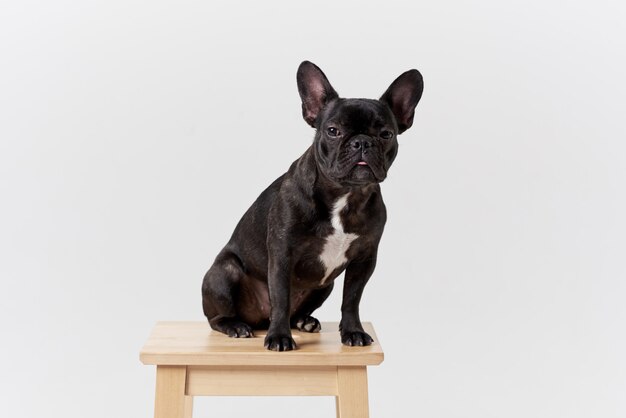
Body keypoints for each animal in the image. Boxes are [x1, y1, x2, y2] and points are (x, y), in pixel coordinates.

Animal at [202, 60, 422, 352]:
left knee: (299, 309)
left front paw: (353, 331)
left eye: (386, 134)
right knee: (219, 316)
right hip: (223, 273)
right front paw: (279, 337)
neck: (346, 193)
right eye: (333, 131)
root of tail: (258, 320)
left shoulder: (364, 260)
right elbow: (280, 299)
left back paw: (304, 321)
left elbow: (352, 299)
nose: (362, 141)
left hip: (324, 286)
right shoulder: (282, 254)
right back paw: (236, 326)